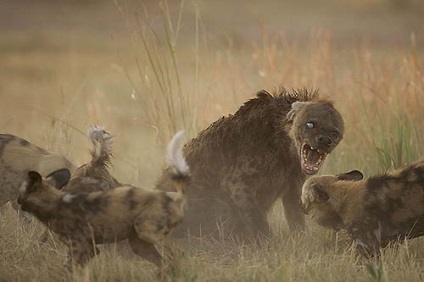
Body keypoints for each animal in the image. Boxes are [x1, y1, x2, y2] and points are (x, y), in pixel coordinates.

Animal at [156, 87, 344, 238]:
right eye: (310, 124)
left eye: (334, 132)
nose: (325, 140)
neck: (283, 150)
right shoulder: (238, 183)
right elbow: (257, 218)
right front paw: (267, 245)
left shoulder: (293, 184)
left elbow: (296, 217)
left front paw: (301, 241)